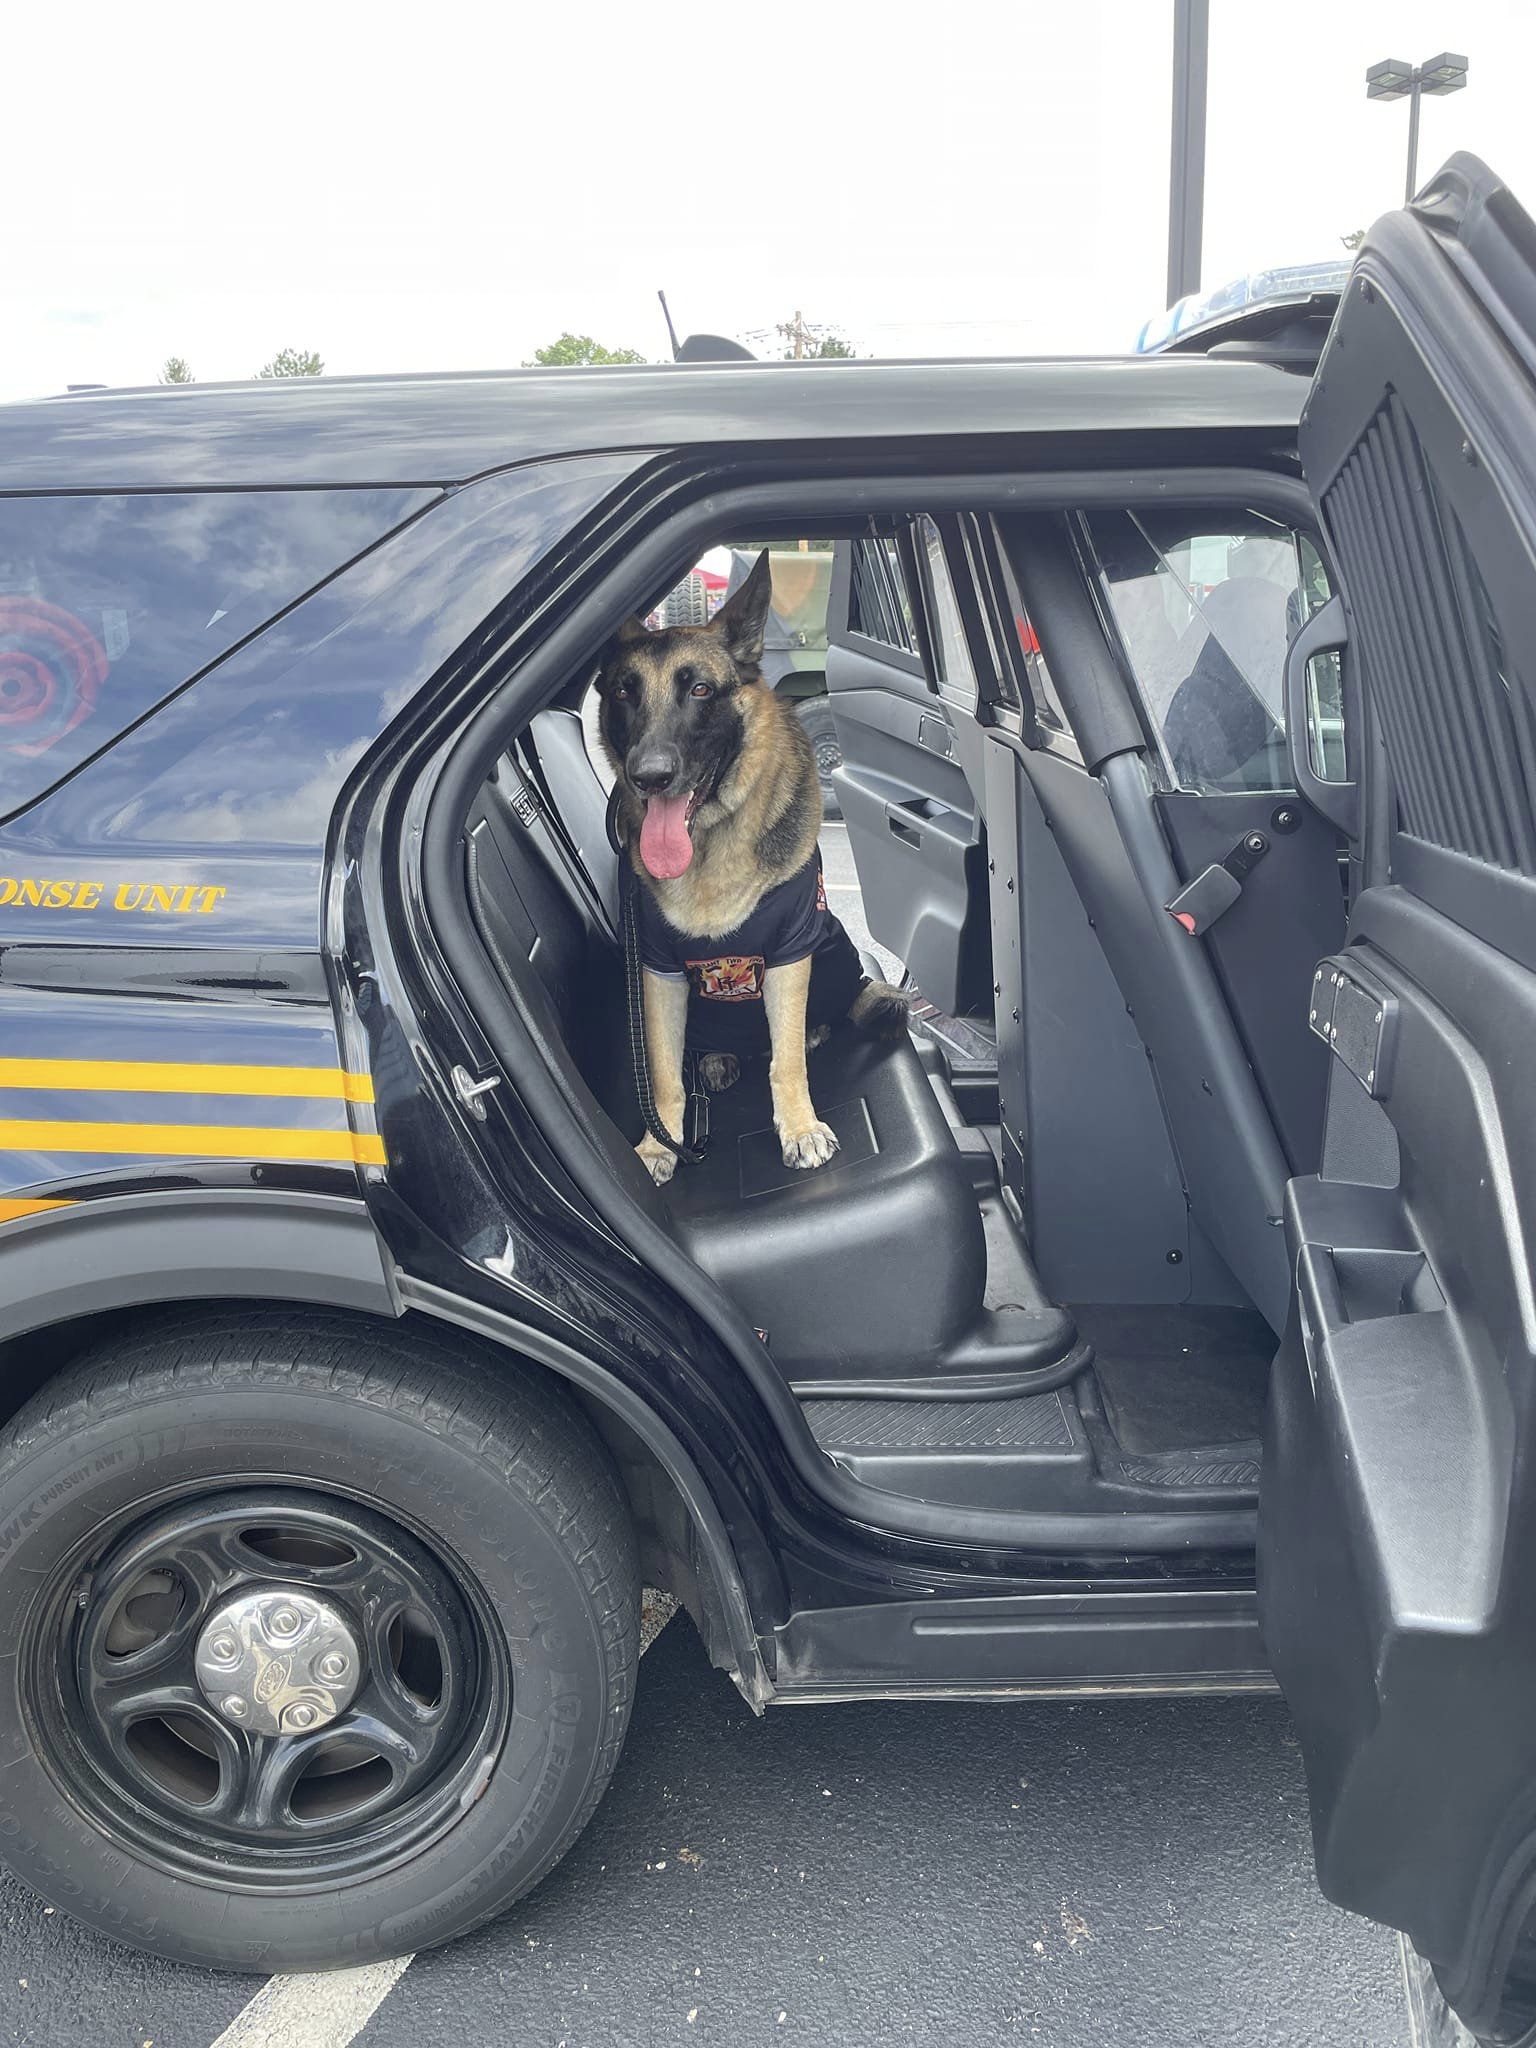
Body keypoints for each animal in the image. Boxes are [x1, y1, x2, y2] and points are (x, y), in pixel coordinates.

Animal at [602, 552, 913, 1187]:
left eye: (700, 689)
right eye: (624, 692)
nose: (649, 777)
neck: (706, 850)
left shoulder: (793, 949)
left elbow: (786, 1059)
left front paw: (798, 1126)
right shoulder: (657, 970)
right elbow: (664, 1072)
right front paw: (657, 1142)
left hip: (833, 946)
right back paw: (718, 1058)